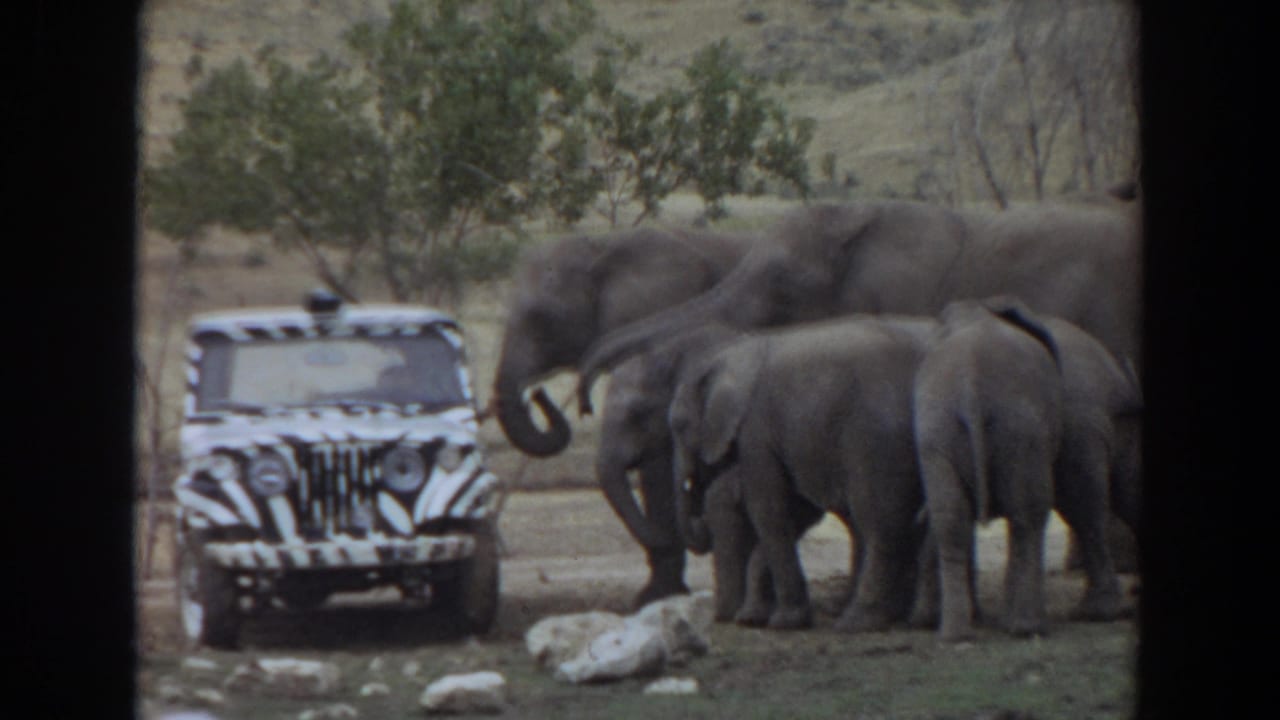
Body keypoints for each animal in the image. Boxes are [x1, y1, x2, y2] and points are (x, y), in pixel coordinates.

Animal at [491, 226, 756, 607]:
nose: (538, 393)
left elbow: (659, 460)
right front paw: (658, 592)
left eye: (542, 317)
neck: (602, 246)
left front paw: (655, 594)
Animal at [665, 314, 940, 631]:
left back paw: (856, 621)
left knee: (877, 519)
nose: (700, 523)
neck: (730, 354)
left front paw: (783, 622)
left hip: (877, 437)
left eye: (679, 426)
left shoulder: (755, 430)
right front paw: (758, 617)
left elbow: (768, 508)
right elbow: (798, 508)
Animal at [912, 297, 1143, 642]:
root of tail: (970, 385)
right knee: (1033, 514)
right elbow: (1082, 500)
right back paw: (1025, 627)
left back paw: (961, 633)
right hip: (1018, 428)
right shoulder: (1081, 419)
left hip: (946, 430)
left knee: (955, 517)